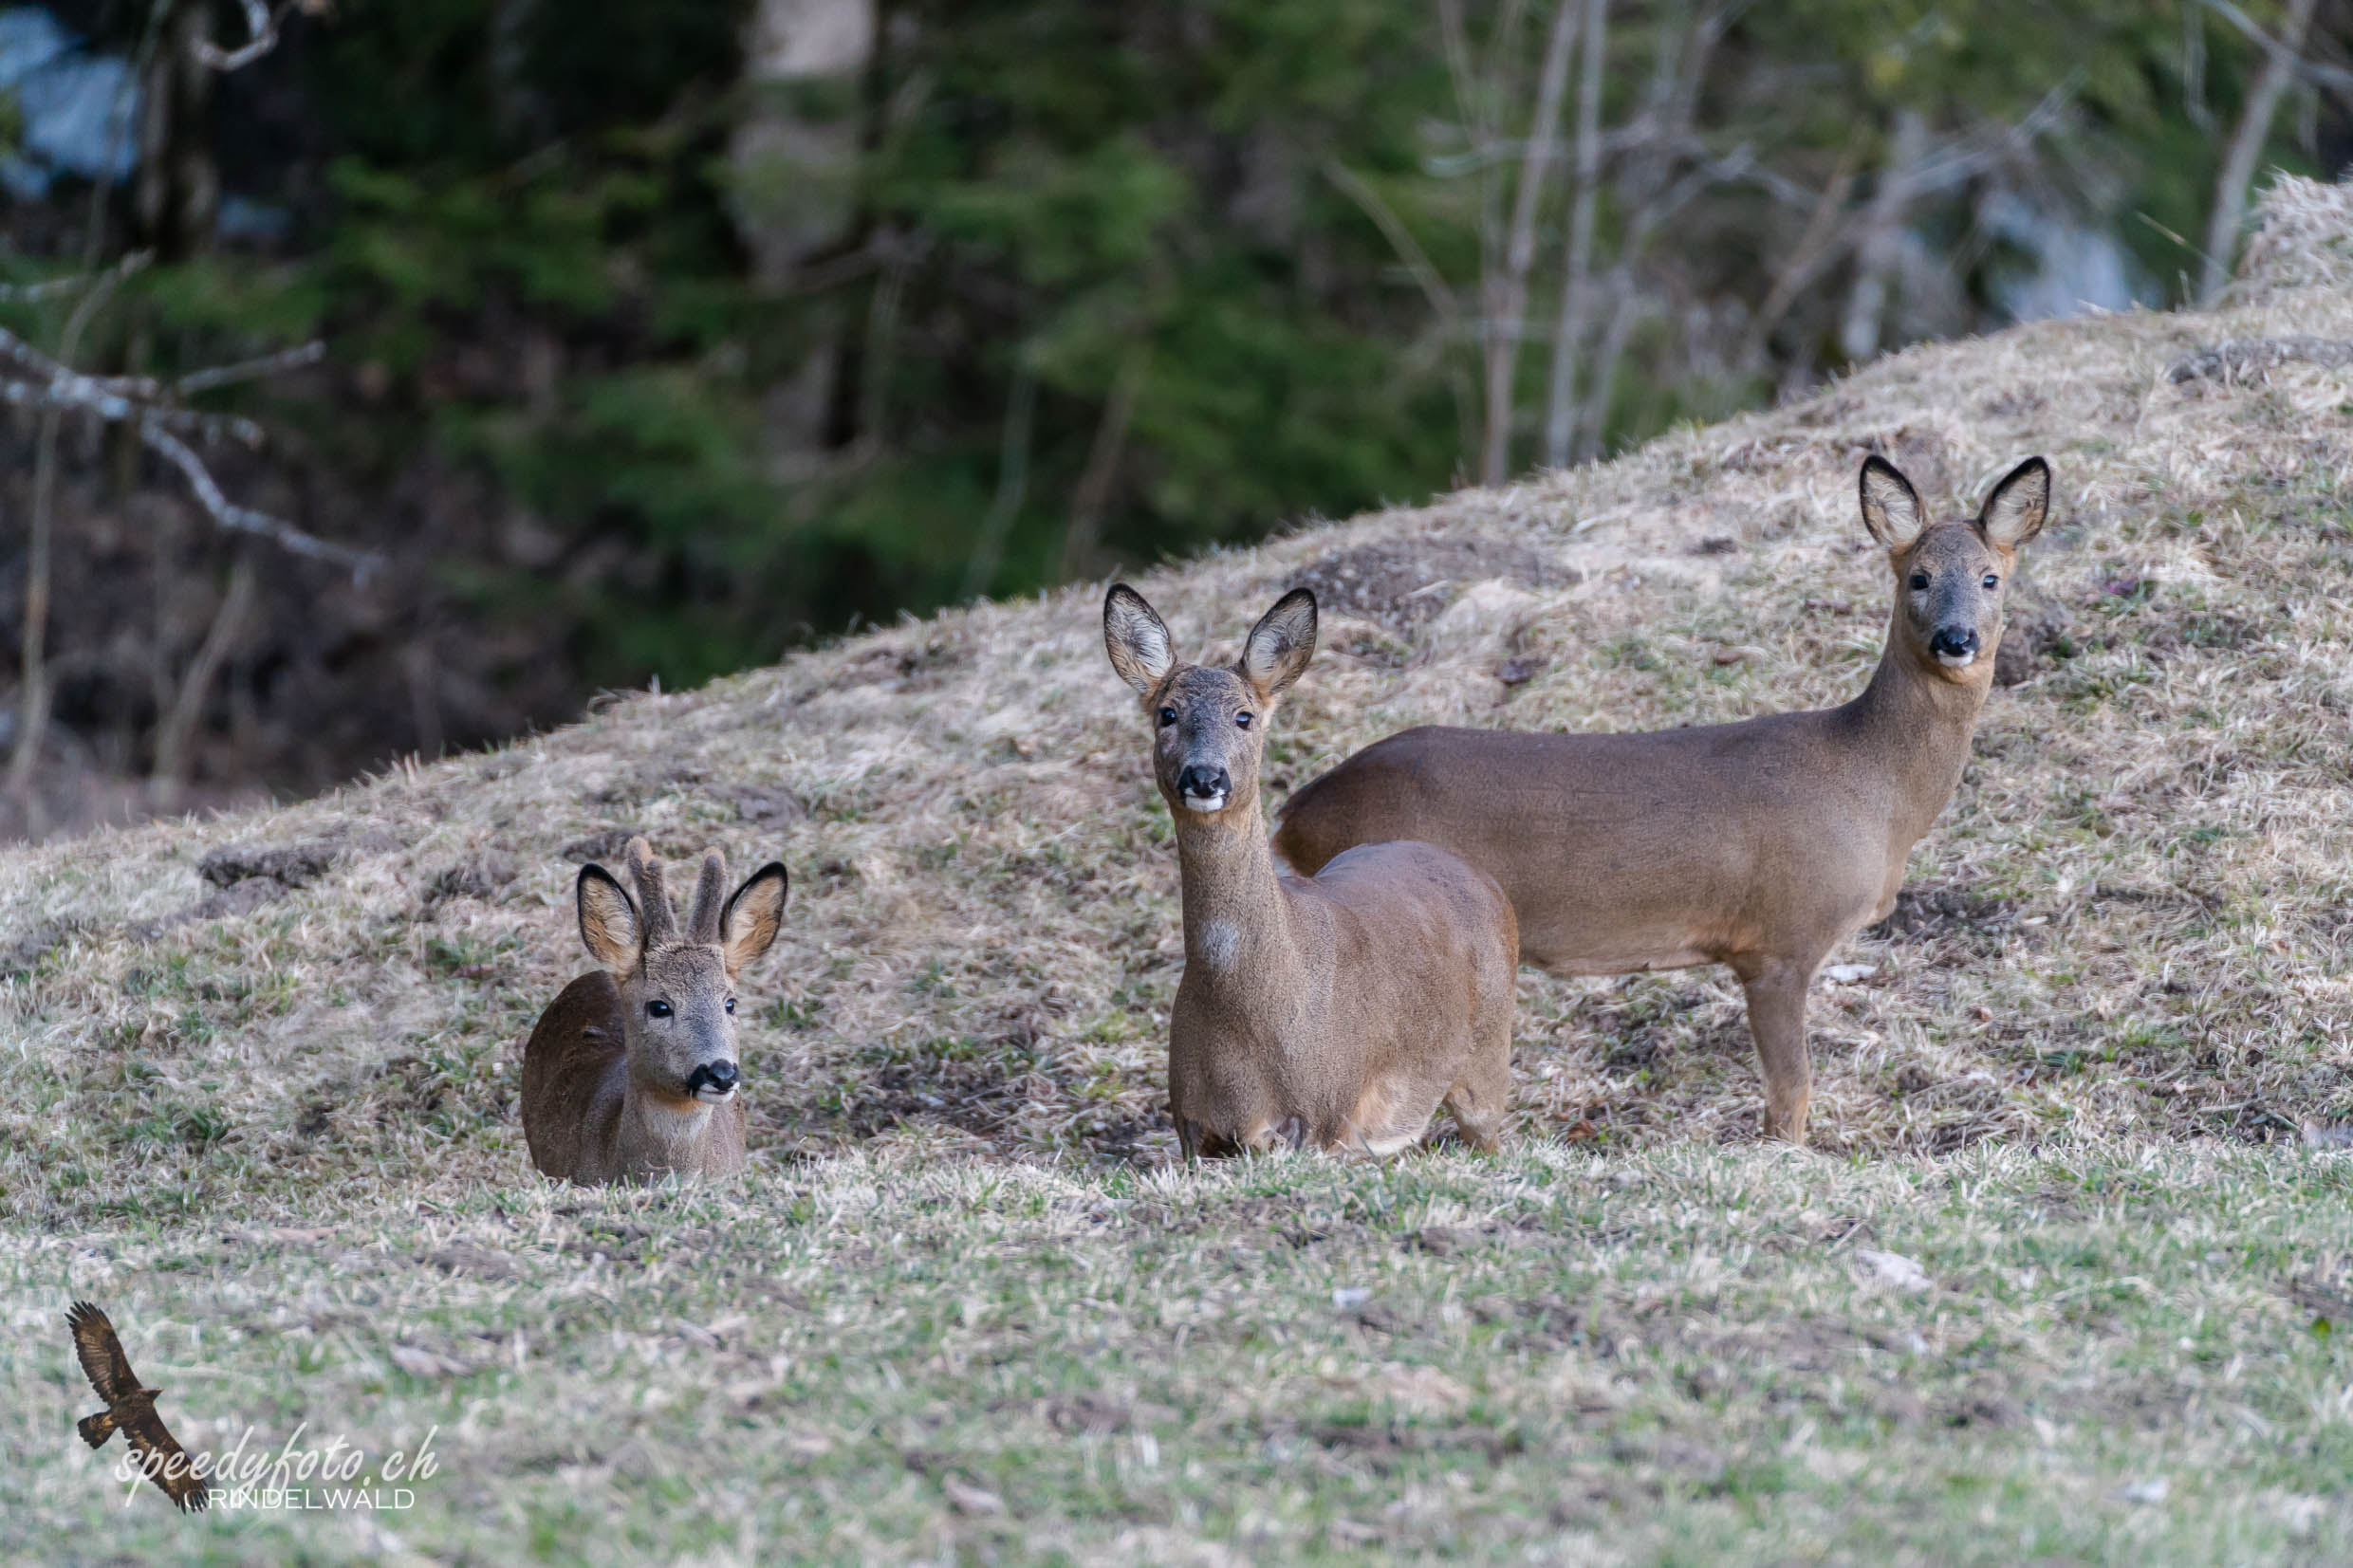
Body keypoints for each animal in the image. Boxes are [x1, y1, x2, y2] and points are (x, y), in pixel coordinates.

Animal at [1105, 582, 1525, 1161]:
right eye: (1166, 713)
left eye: (1244, 716)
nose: (1205, 776)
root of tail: (1486, 882)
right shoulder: (1193, 1127)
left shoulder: (1324, 1116)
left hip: (1487, 1053)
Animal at [1270, 453, 2042, 1142]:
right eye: (1918, 577)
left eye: (1990, 577)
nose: (1956, 638)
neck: (1871, 788)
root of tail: (1295, 812)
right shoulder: (1781, 937)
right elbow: (1790, 1097)